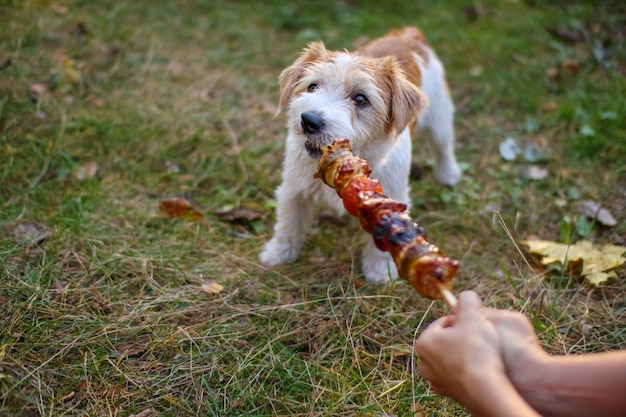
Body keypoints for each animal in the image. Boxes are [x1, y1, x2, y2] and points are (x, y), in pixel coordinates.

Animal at [258, 26, 458, 282]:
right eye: (312, 86)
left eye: (361, 99)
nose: (309, 120)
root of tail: (409, 34)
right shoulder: (293, 190)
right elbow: (288, 224)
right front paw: (278, 254)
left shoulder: (390, 199)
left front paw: (381, 272)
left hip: (440, 120)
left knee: (444, 148)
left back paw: (449, 174)